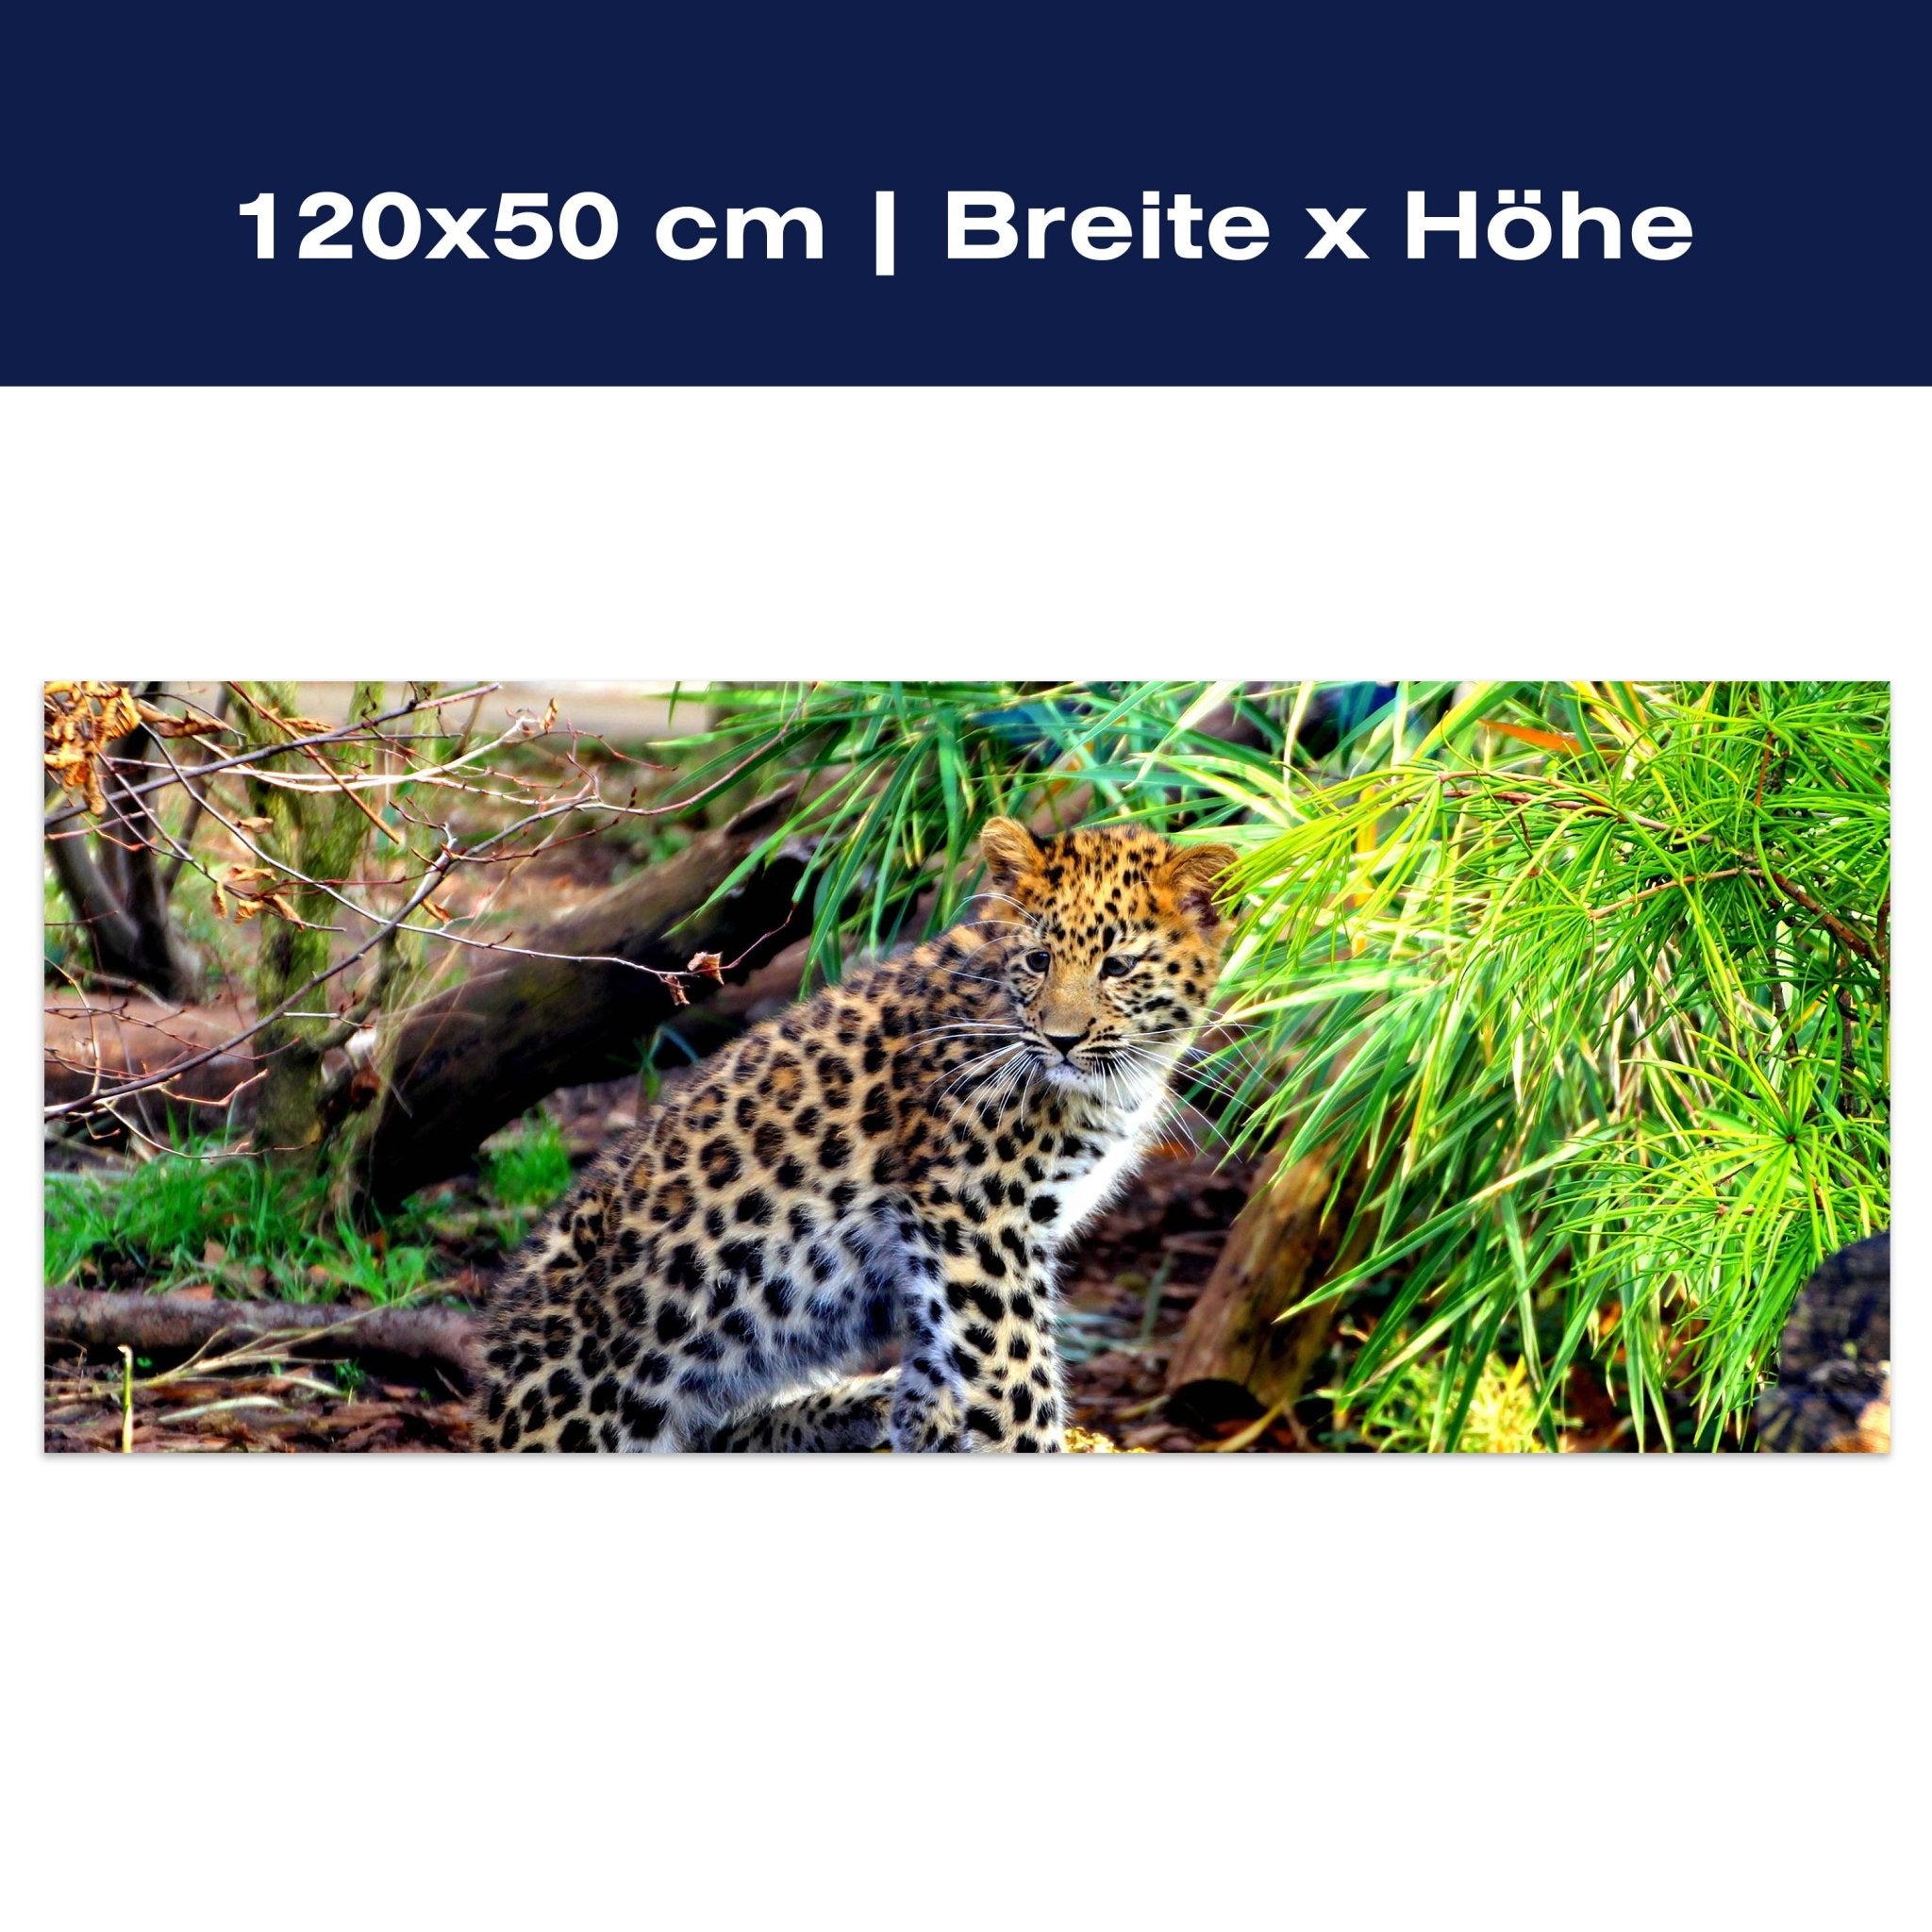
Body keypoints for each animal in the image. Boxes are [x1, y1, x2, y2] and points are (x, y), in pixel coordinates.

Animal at [471, 815, 1237, 1451]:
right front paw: (1026, 1446)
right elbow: (1012, 1368)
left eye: (1118, 966)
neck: (1113, 1082)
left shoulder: (949, 1243)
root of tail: (490, 1397)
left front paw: (928, 1422)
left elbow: (945, 1352)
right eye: (1039, 960)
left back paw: (860, 1405)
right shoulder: (976, 1217)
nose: (1062, 1039)